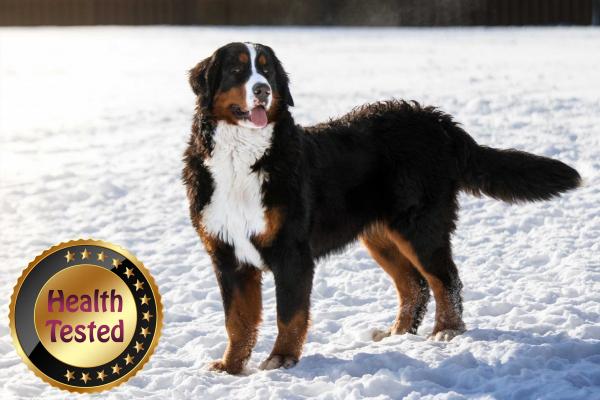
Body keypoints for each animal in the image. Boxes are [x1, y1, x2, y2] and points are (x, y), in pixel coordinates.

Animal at [183, 42, 580, 374]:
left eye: (266, 72)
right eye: (237, 70)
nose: (263, 90)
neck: (242, 159)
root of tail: (438, 121)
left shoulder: (291, 252)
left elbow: (289, 315)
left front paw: (281, 360)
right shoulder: (227, 254)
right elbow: (237, 320)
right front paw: (230, 367)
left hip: (420, 227)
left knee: (445, 279)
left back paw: (447, 331)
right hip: (382, 235)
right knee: (414, 286)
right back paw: (398, 334)